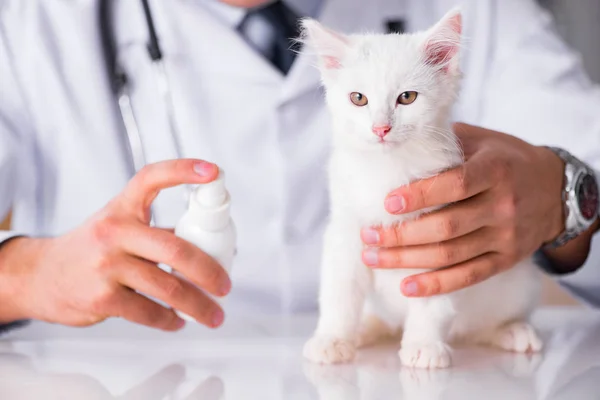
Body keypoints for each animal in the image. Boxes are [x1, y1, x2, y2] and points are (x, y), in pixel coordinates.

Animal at [302, 7, 540, 368]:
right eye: (358, 98)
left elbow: (431, 301)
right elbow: (339, 292)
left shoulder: (439, 238)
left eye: (407, 97)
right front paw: (332, 337)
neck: (387, 168)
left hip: (517, 284)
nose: (381, 128)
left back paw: (511, 330)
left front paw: (424, 345)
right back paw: (365, 328)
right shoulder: (345, 232)